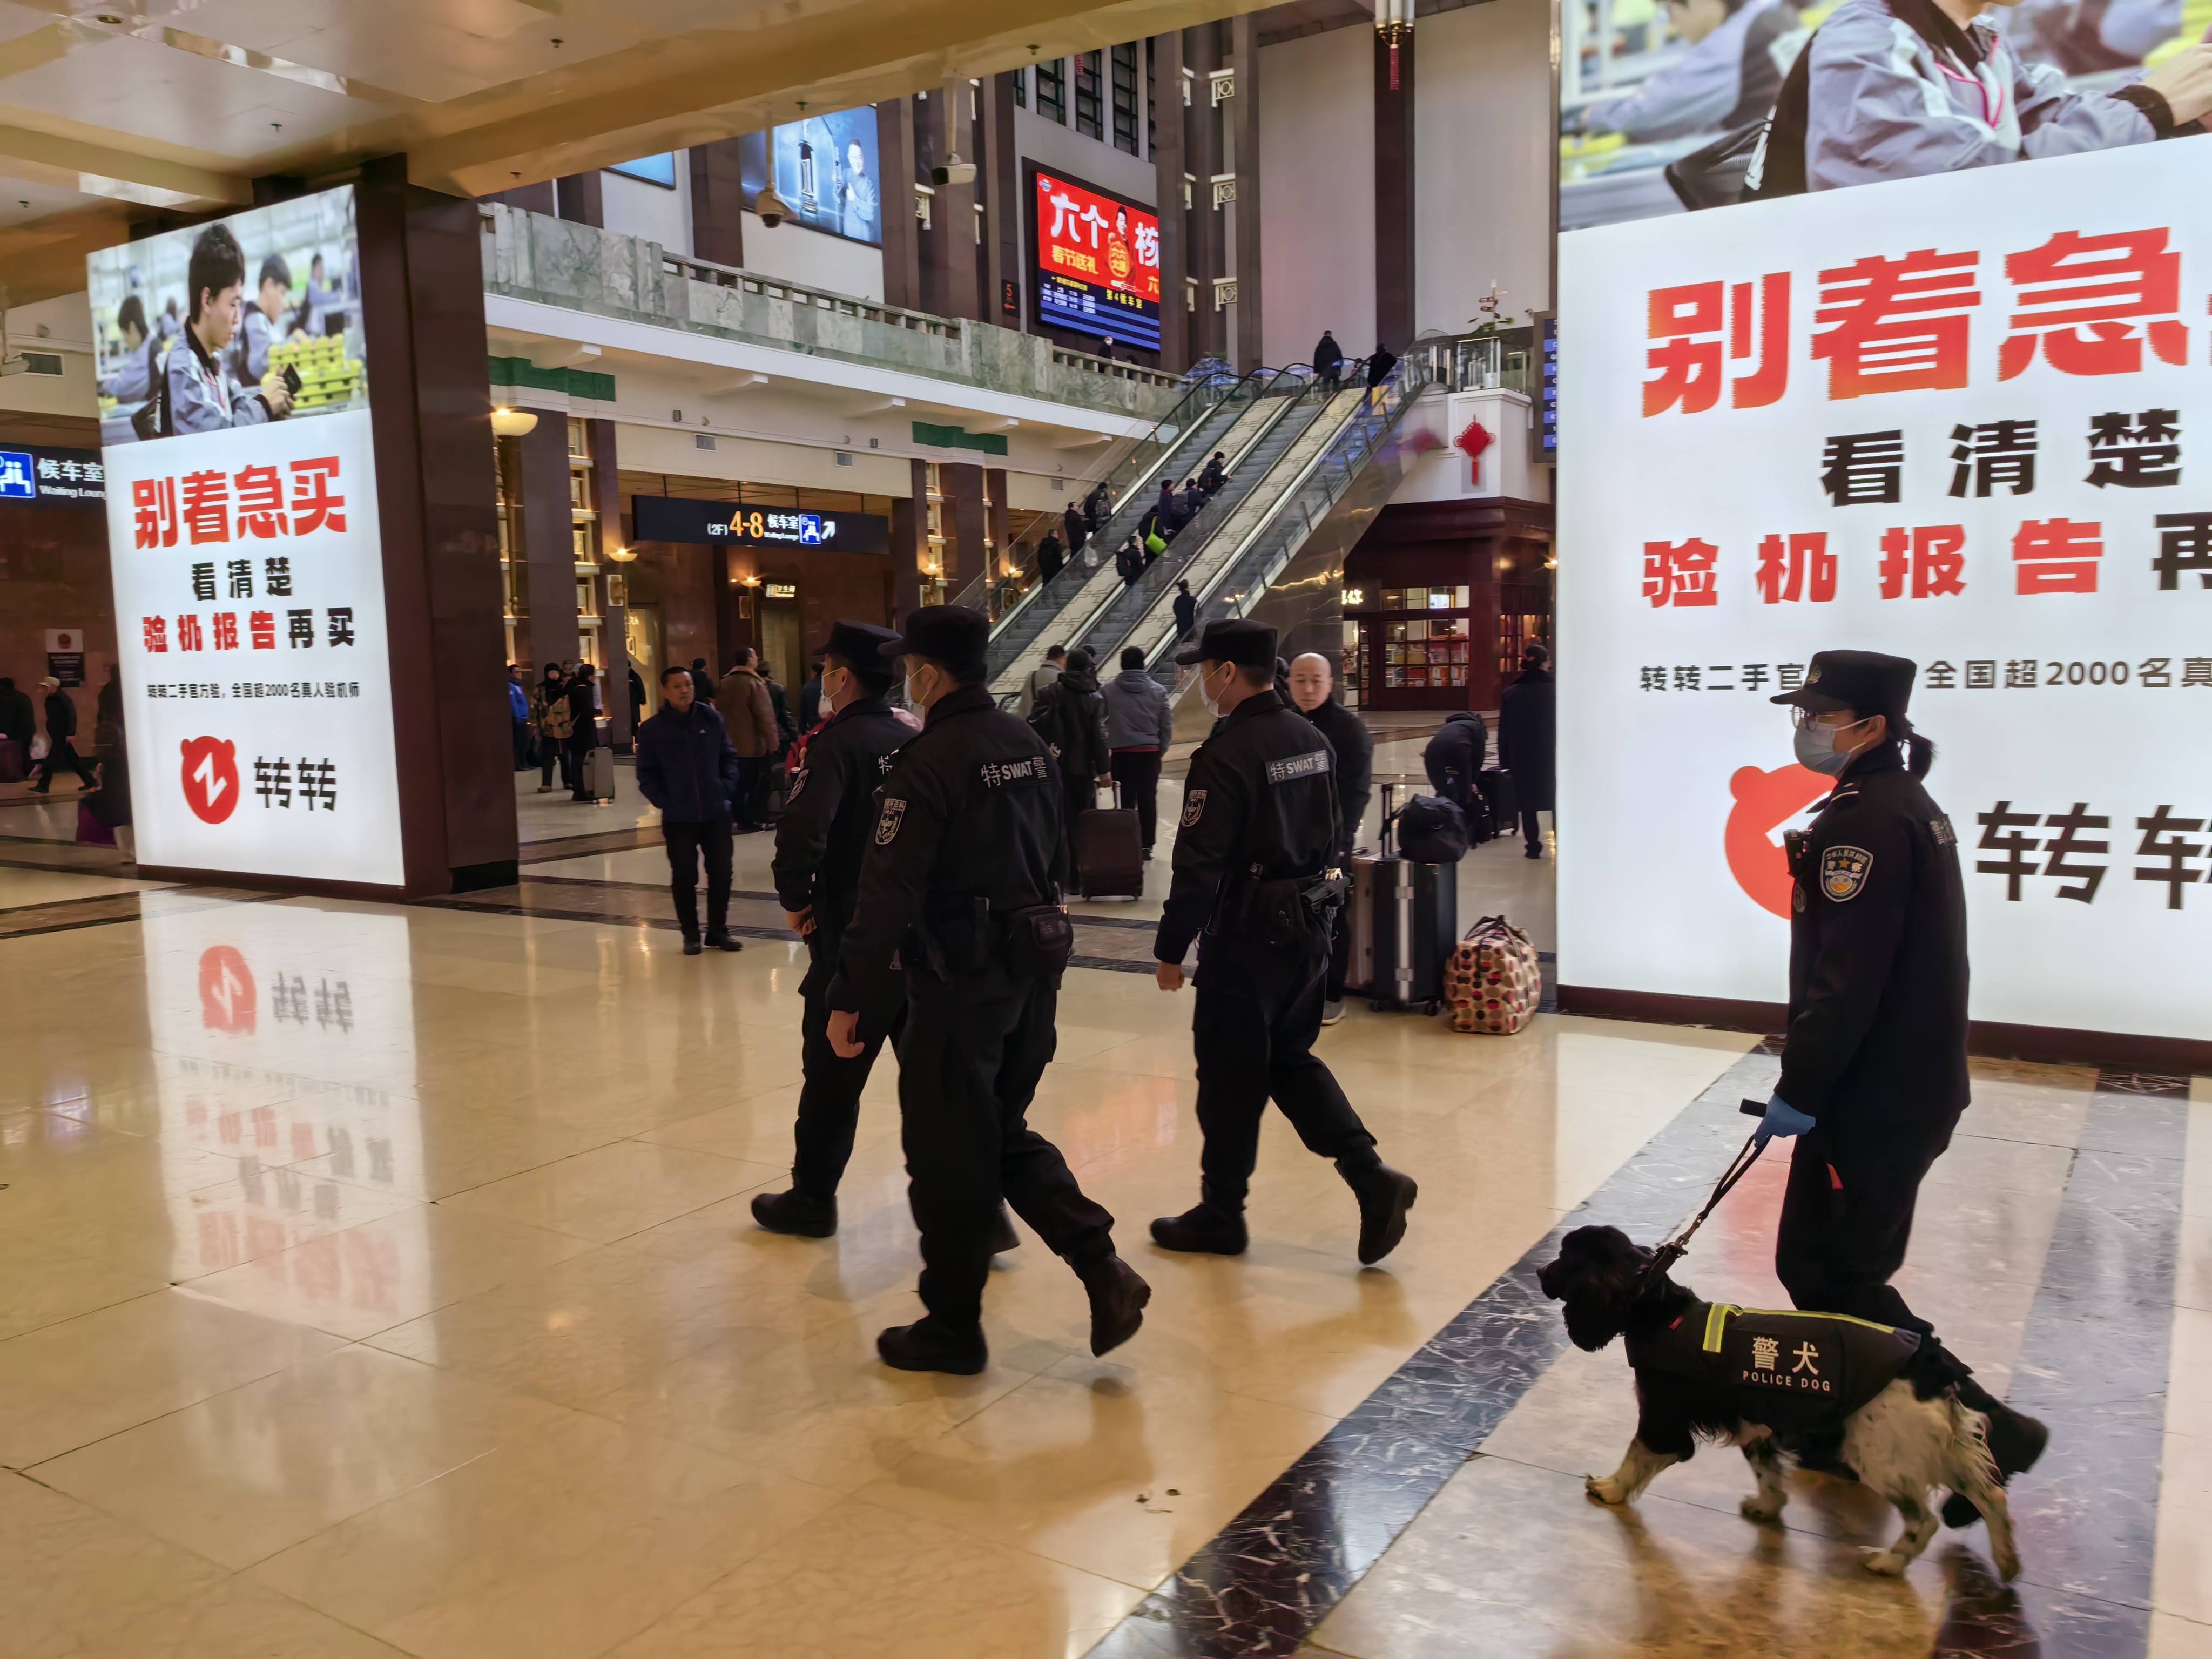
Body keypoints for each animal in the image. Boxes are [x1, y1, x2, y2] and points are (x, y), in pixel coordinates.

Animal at [1539, 1220, 2026, 1583]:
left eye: (1564, 1257)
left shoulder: (1663, 1417)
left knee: (1924, 1521)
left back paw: (1887, 1562)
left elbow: (1636, 1456)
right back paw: (2007, 1562)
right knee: (1992, 1496)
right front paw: (1767, 1507)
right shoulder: (1754, 1424)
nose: (1541, 1272)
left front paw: (1609, 1488)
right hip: (1936, 1445)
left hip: (1882, 1453)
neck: (1655, 1306)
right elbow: (1768, 1473)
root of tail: (1930, 1361)